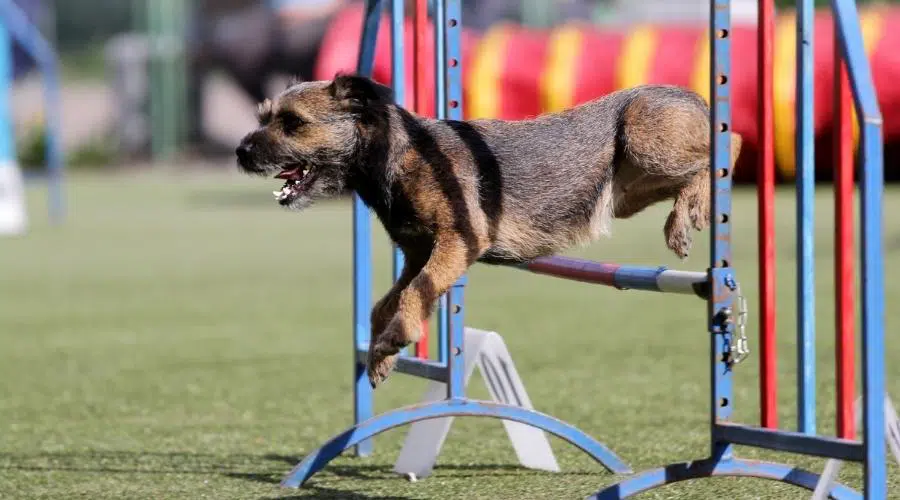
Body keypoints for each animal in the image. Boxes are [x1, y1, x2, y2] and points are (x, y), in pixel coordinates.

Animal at [236, 74, 740, 388]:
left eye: (293, 123)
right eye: (264, 117)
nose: (241, 152)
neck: (399, 156)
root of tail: (695, 96)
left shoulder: (456, 243)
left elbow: (413, 294)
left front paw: (395, 340)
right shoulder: (419, 253)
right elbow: (388, 302)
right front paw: (381, 355)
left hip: (643, 135)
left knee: (726, 144)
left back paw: (688, 214)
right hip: (633, 188)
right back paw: (686, 210)